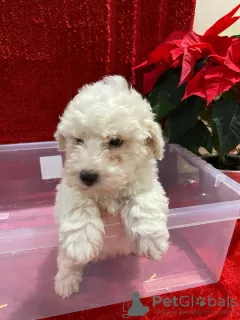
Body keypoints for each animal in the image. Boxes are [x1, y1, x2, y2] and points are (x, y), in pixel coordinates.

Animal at [53, 75, 169, 298]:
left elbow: (144, 203)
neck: (108, 190)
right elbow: (78, 202)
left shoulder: (150, 185)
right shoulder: (68, 186)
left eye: (116, 141)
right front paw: (81, 242)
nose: (87, 175)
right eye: (78, 140)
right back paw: (65, 282)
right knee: (66, 260)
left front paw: (152, 241)